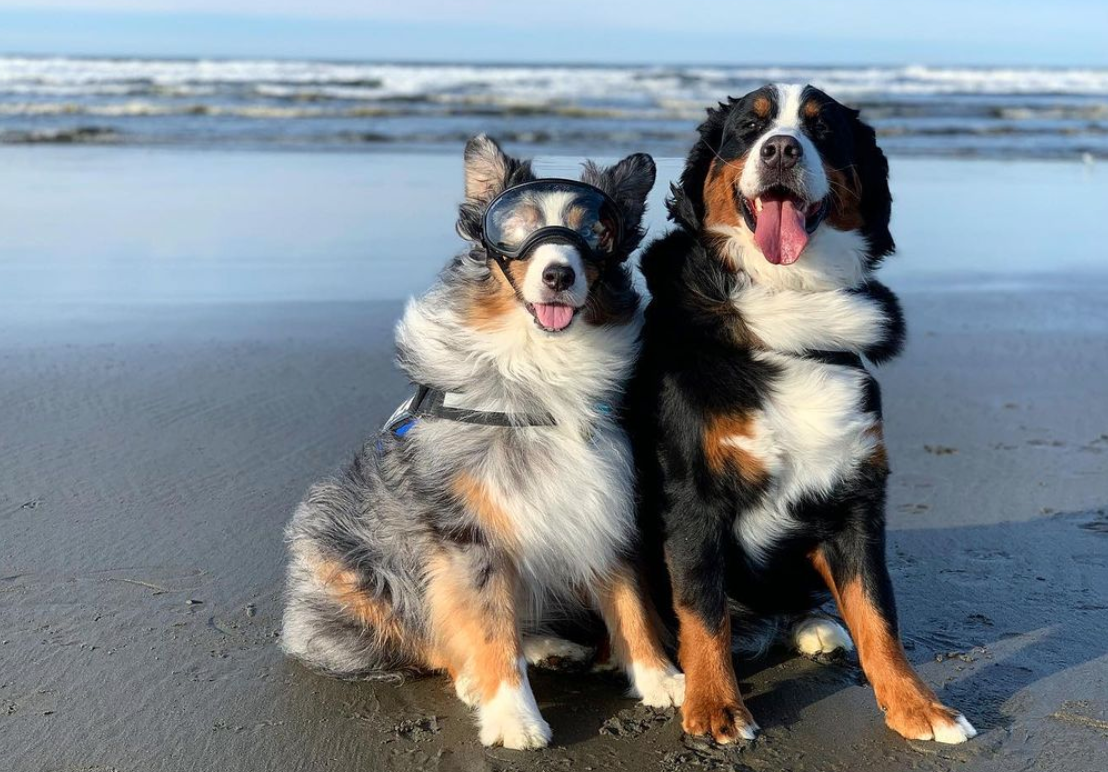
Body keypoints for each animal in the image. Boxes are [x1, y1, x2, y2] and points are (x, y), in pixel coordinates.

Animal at [624, 87, 979, 744]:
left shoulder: (855, 494)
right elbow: (702, 607)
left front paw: (917, 705)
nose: (783, 149)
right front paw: (715, 705)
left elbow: (877, 610)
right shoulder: (691, 496)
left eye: (823, 130)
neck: (789, 296)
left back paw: (811, 625)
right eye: (750, 126)